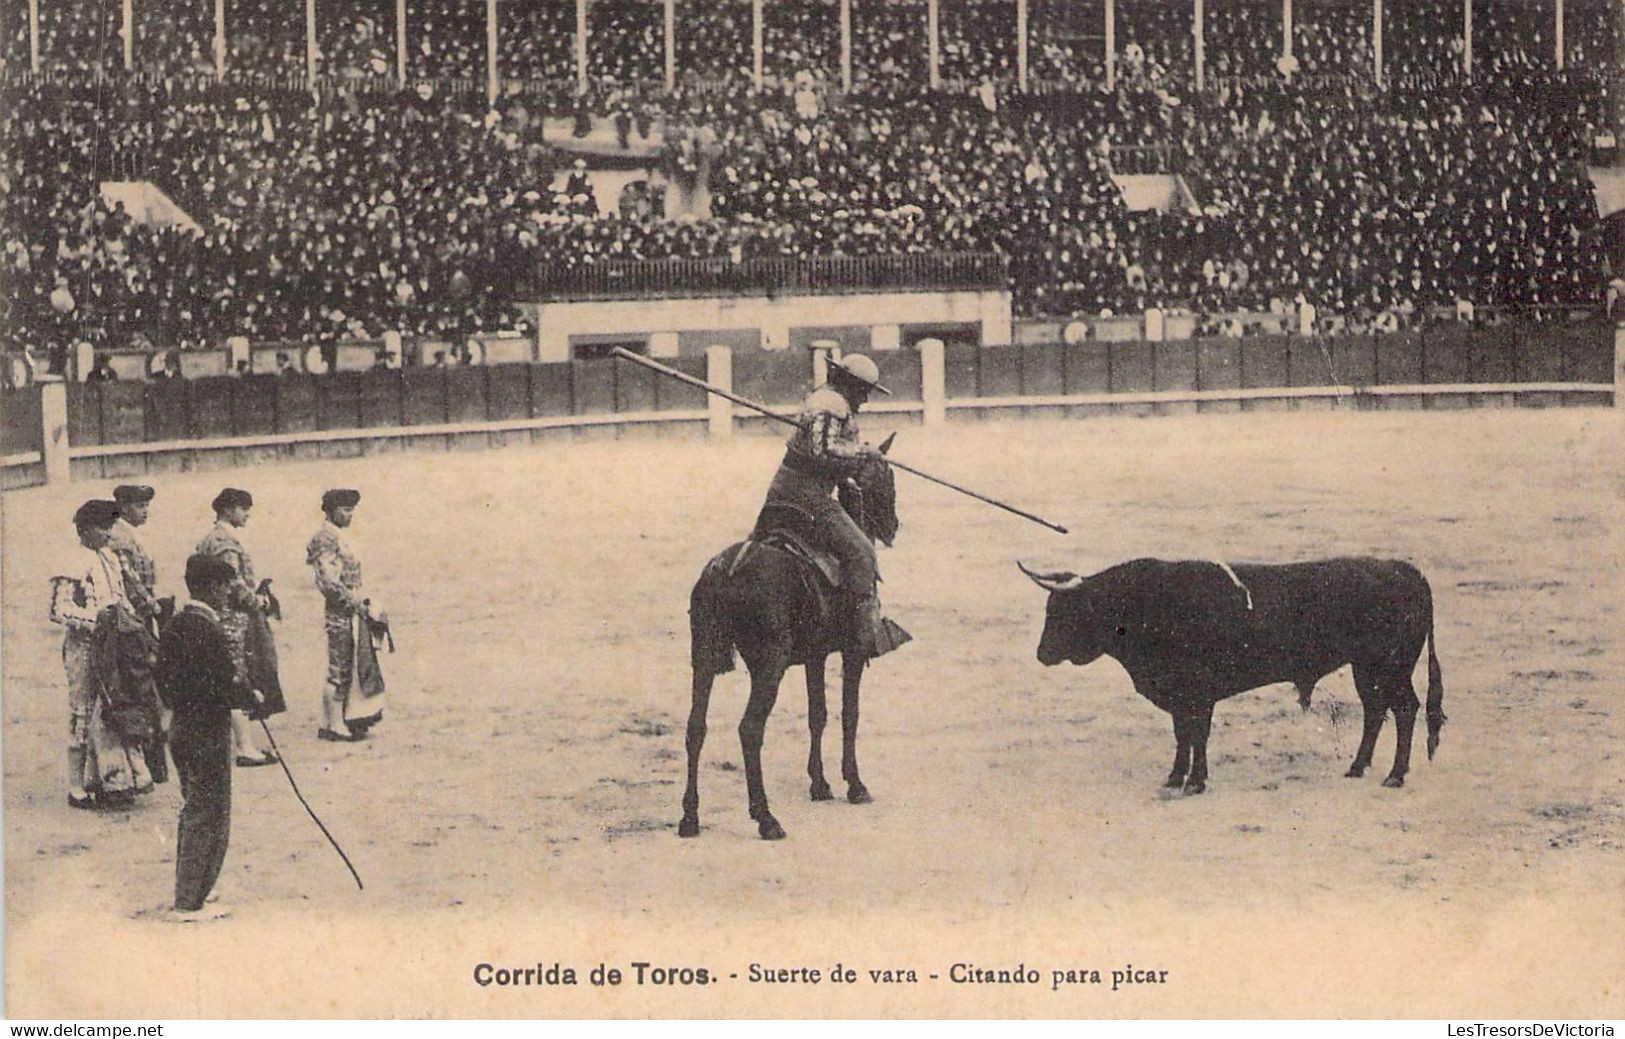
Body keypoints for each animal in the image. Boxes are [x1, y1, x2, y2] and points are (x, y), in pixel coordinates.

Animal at [676, 442, 903, 839]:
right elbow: (849, 714)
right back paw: (766, 817)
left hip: (702, 658)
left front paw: (820, 785)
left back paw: (690, 817)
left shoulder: (815, 656)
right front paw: (855, 785)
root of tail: (726, 569)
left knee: (695, 727)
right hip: (770, 665)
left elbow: (818, 714)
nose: (893, 525)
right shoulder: (852, 652)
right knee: (750, 729)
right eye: (887, 477)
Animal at [1020, 559, 1456, 796]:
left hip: (1390, 666)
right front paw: (1175, 777)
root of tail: (1404, 569)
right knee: (1374, 710)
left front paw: (1195, 781)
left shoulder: (1197, 693)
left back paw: (1394, 775)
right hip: (1366, 669)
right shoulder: (1180, 696)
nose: (1042, 654)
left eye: (1063, 612)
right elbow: (1182, 734)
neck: (1150, 604)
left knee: (1404, 710)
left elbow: (1197, 734)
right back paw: (1357, 767)